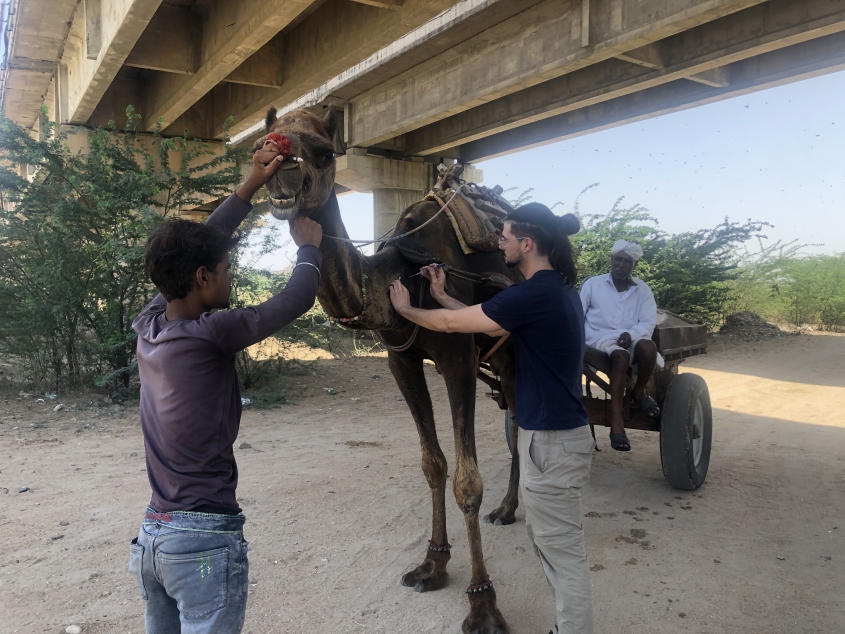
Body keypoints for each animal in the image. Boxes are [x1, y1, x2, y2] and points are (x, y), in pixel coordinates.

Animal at [258, 106, 520, 628]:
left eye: (324, 152)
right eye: (261, 144)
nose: (282, 171)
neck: (406, 273)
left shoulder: (458, 359)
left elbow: (467, 481)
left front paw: (483, 604)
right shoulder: (402, 360)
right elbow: (433, 464)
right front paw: (432, 565)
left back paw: (511, 506)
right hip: (499, 353)